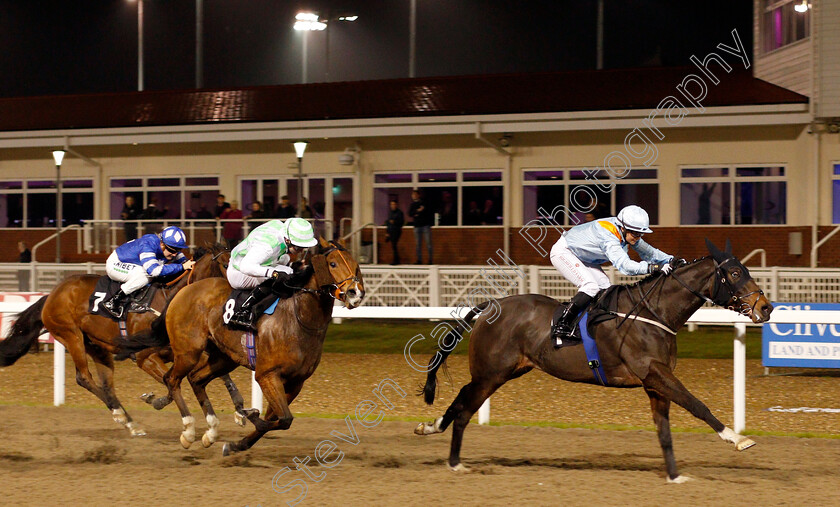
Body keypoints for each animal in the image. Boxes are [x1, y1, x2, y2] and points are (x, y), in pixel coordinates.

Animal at [0, 244, 249, 434]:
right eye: (225, 264)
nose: (239, 294)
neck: (168, 302)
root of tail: (51, 295)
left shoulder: (186, 350)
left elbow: (216, 374)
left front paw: (241, 411)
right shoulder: (145, 358)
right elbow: (172, 382)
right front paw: (155, 400)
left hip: (97, 347)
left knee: (106, 385)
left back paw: (129, 421)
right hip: (71, 336)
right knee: (84, 378)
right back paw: (120, 414)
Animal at [144, 238, 364, 452]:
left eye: (356, 266)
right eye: (333, 264)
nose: (355, 293)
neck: (299, 319)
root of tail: (184, 290)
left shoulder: (296, 382)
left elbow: (277, 418)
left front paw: (237, 444)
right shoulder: (267, 374)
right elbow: (284, 419)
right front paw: (248, 415)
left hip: (224, 358)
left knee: (196, 379)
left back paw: (211, 432)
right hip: (188, 351)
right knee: (171, 379)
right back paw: (188, 430)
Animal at [414, 240, 776, 482]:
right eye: (734, 272)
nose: (766, 307)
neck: (653, 313)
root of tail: (491, 305)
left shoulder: (654, 383)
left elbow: (664, 431)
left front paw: (675, 476)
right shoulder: (653, 373)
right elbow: (697, 404)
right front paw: (738, 439)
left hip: (505, 372)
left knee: (463, 398)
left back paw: (431, 428)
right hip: (492, 372)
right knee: (465, 407)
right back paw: (454, 460)